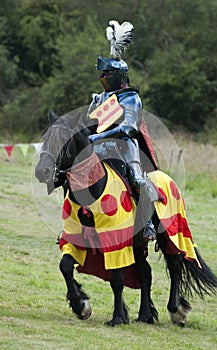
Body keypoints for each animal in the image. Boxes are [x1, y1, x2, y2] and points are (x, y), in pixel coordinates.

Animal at [34, 108, 216, 326]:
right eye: (45, 138)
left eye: (64, 139)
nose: (41, 171)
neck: (94, 189)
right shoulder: (78, 238)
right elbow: (66, 266)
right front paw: (81, 305)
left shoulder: (116, 241)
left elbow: (117, 280)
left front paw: (117, 317)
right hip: (137, 243)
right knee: (146, 273)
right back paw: (145, 315)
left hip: (171, 233)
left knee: (174, 265)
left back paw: (176, 310)